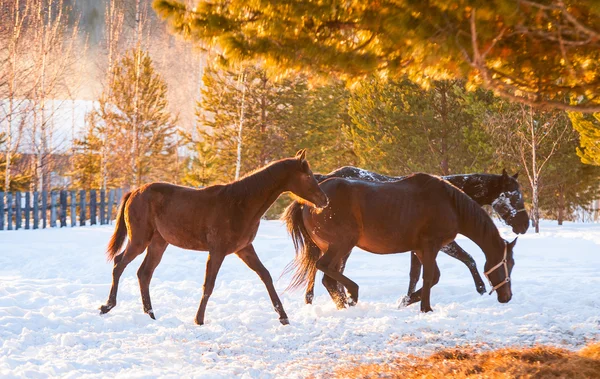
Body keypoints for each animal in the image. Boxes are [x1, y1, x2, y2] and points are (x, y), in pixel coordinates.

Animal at [102, 151, 328, 326]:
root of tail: (134, 192)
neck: (241, 203)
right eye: (308, 175)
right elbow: (208, 284)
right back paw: (108, 306)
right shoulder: (217, 251)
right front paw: (199, 319)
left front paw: (283, 317)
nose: (324, 200)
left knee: (144, 273)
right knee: (119, 264)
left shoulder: (244, 249)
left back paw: (150, 314)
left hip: (158, 243)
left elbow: (265, 275)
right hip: (140, 240)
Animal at [292, 166, 528, 306]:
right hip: (342, 245)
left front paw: (408, 298)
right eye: (515, 196)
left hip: (335, 247)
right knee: (327, 272)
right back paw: (348, 296)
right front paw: (479, 288)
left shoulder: (418, 248)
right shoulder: (438, 244)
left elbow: (416, 274)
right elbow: (465, 261)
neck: (451, 200)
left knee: (325, 273)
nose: (525, 224)